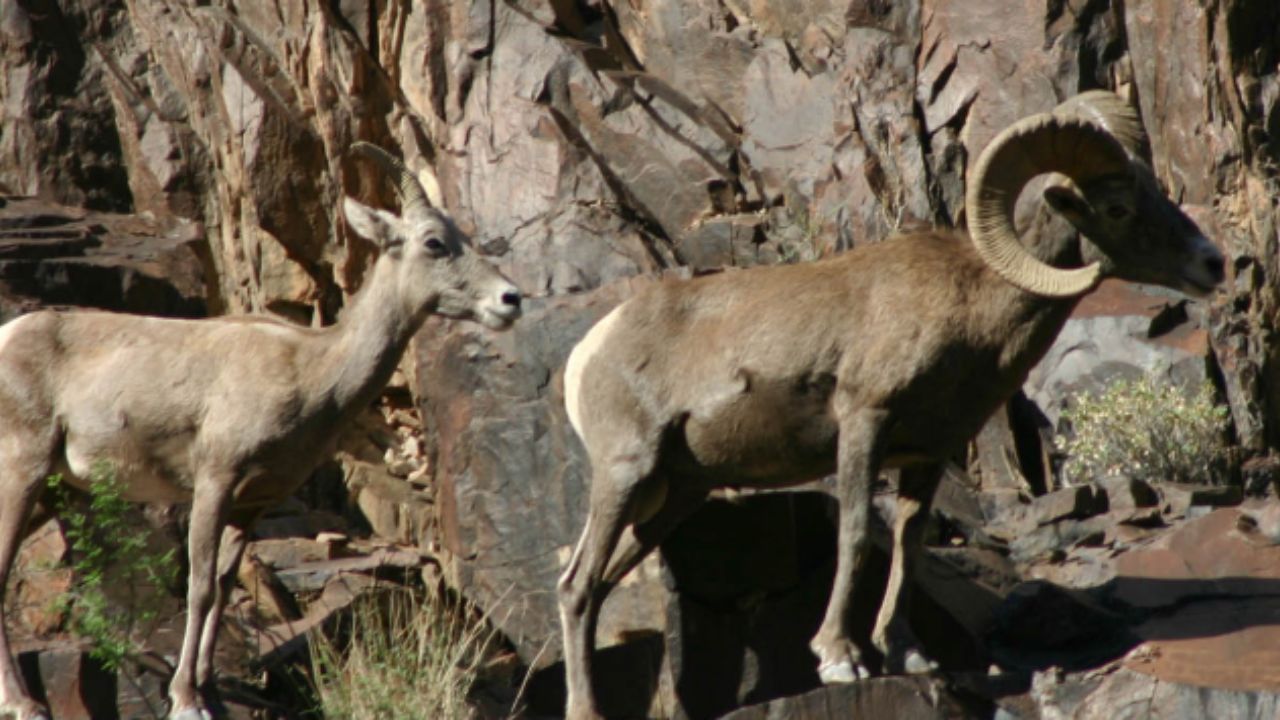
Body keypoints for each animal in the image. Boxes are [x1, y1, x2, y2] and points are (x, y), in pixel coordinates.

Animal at [0, 142, 522, 720]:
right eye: (434, 242)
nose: (510, 300)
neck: (312, 369)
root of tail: (8, 337)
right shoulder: (215, 481)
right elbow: (201, 588)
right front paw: (187, 701)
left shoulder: (251, 505)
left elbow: (224, 589)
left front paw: (208, 691)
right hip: (22, 470)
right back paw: (24, 704)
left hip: (50, 489)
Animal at [556, 91, 1224, 719]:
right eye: (1117, 208)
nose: (1211, 263)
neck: (972, 307)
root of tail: (590, 349)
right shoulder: (864, 423)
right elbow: (855, 535)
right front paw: (840, 661)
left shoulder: (926, 457)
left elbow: (908, 547)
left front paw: (907, 655)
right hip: (627, 473)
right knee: (578, 586)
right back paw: (586, 710)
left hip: (675, 496)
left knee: (598, 586)